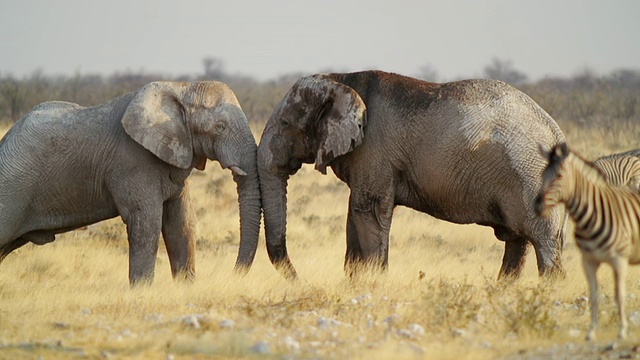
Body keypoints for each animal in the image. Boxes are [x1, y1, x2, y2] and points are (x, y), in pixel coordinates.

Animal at [0, 80, 262, 286]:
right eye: (220, 127)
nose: (234, 274)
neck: (181, 88)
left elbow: (181, 222)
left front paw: (186, 288)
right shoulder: (132, 162)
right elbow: (146, 221)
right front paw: (142, 291)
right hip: (12, 189)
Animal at [258, 69, 568, 280]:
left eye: (285, 123)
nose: (299, 279)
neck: (343, 80)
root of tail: (558, 133)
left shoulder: (375, 151)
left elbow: (367, 210)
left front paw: (372, 284)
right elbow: (354, 213)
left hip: (529, 177)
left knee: (544, 244)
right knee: (518, 242)